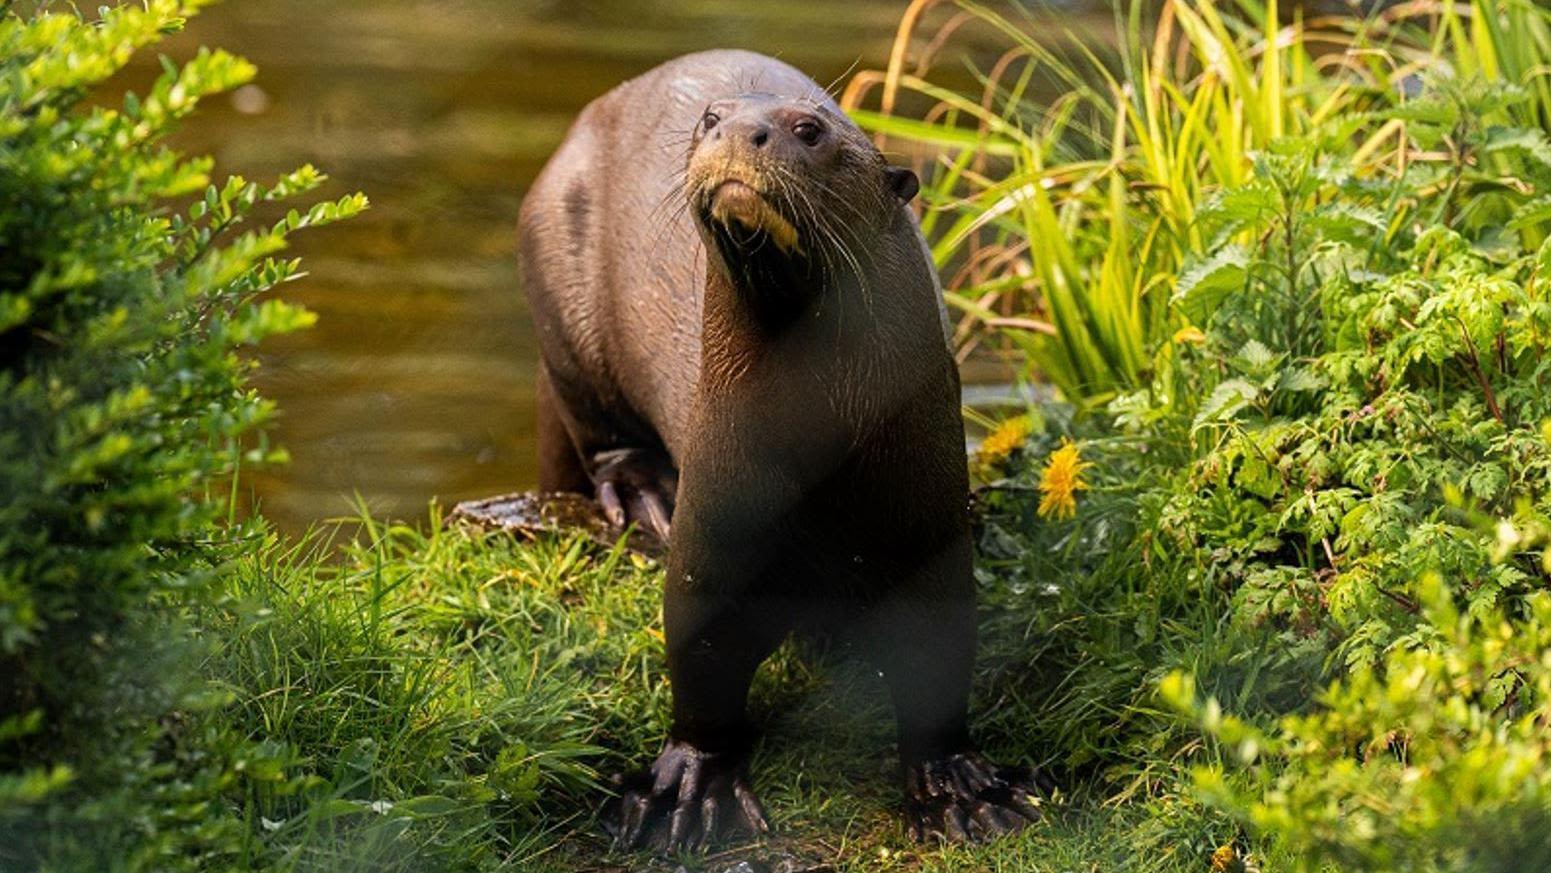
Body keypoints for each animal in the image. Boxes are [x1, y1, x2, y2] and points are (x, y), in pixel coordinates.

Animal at [521, 49, 1042, 855]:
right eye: (710, 117)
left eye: (809, 129)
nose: (737, 130)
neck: (813, 453)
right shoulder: (715, 527)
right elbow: (701, 662)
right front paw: (687, 787)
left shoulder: (928, 530)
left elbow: (938, 662)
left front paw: (960, 788)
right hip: (557, 275)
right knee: (598, 429)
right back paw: (642, 493)